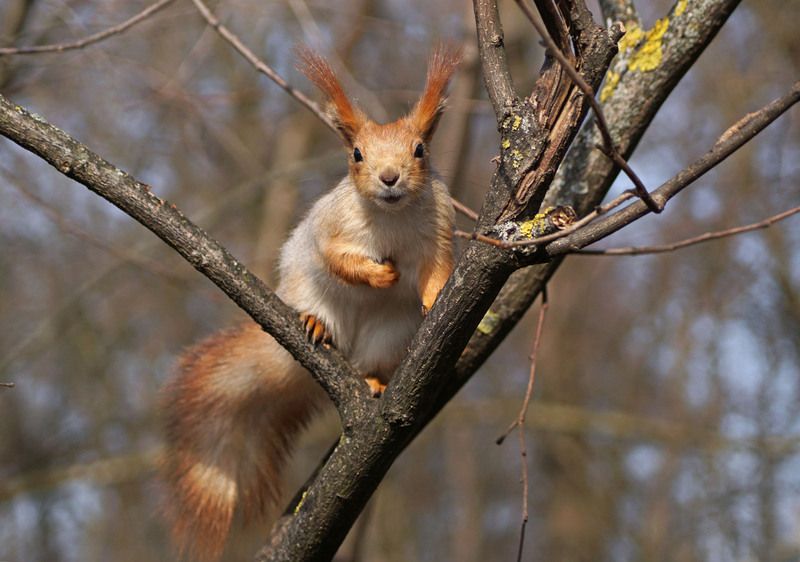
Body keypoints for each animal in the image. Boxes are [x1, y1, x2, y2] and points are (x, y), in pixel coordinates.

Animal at [159, 46, 460, 561]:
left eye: (420, 149)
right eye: (356, 154)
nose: (389, 178)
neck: (391, 216)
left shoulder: (438, 232)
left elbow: (438, 270)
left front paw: (434, 294)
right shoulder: (330, 227)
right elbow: (338, 259)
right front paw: (380, 274)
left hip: (387, 336)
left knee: (370, 362)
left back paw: (375, 381)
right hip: (309, 292)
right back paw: (315, 324)